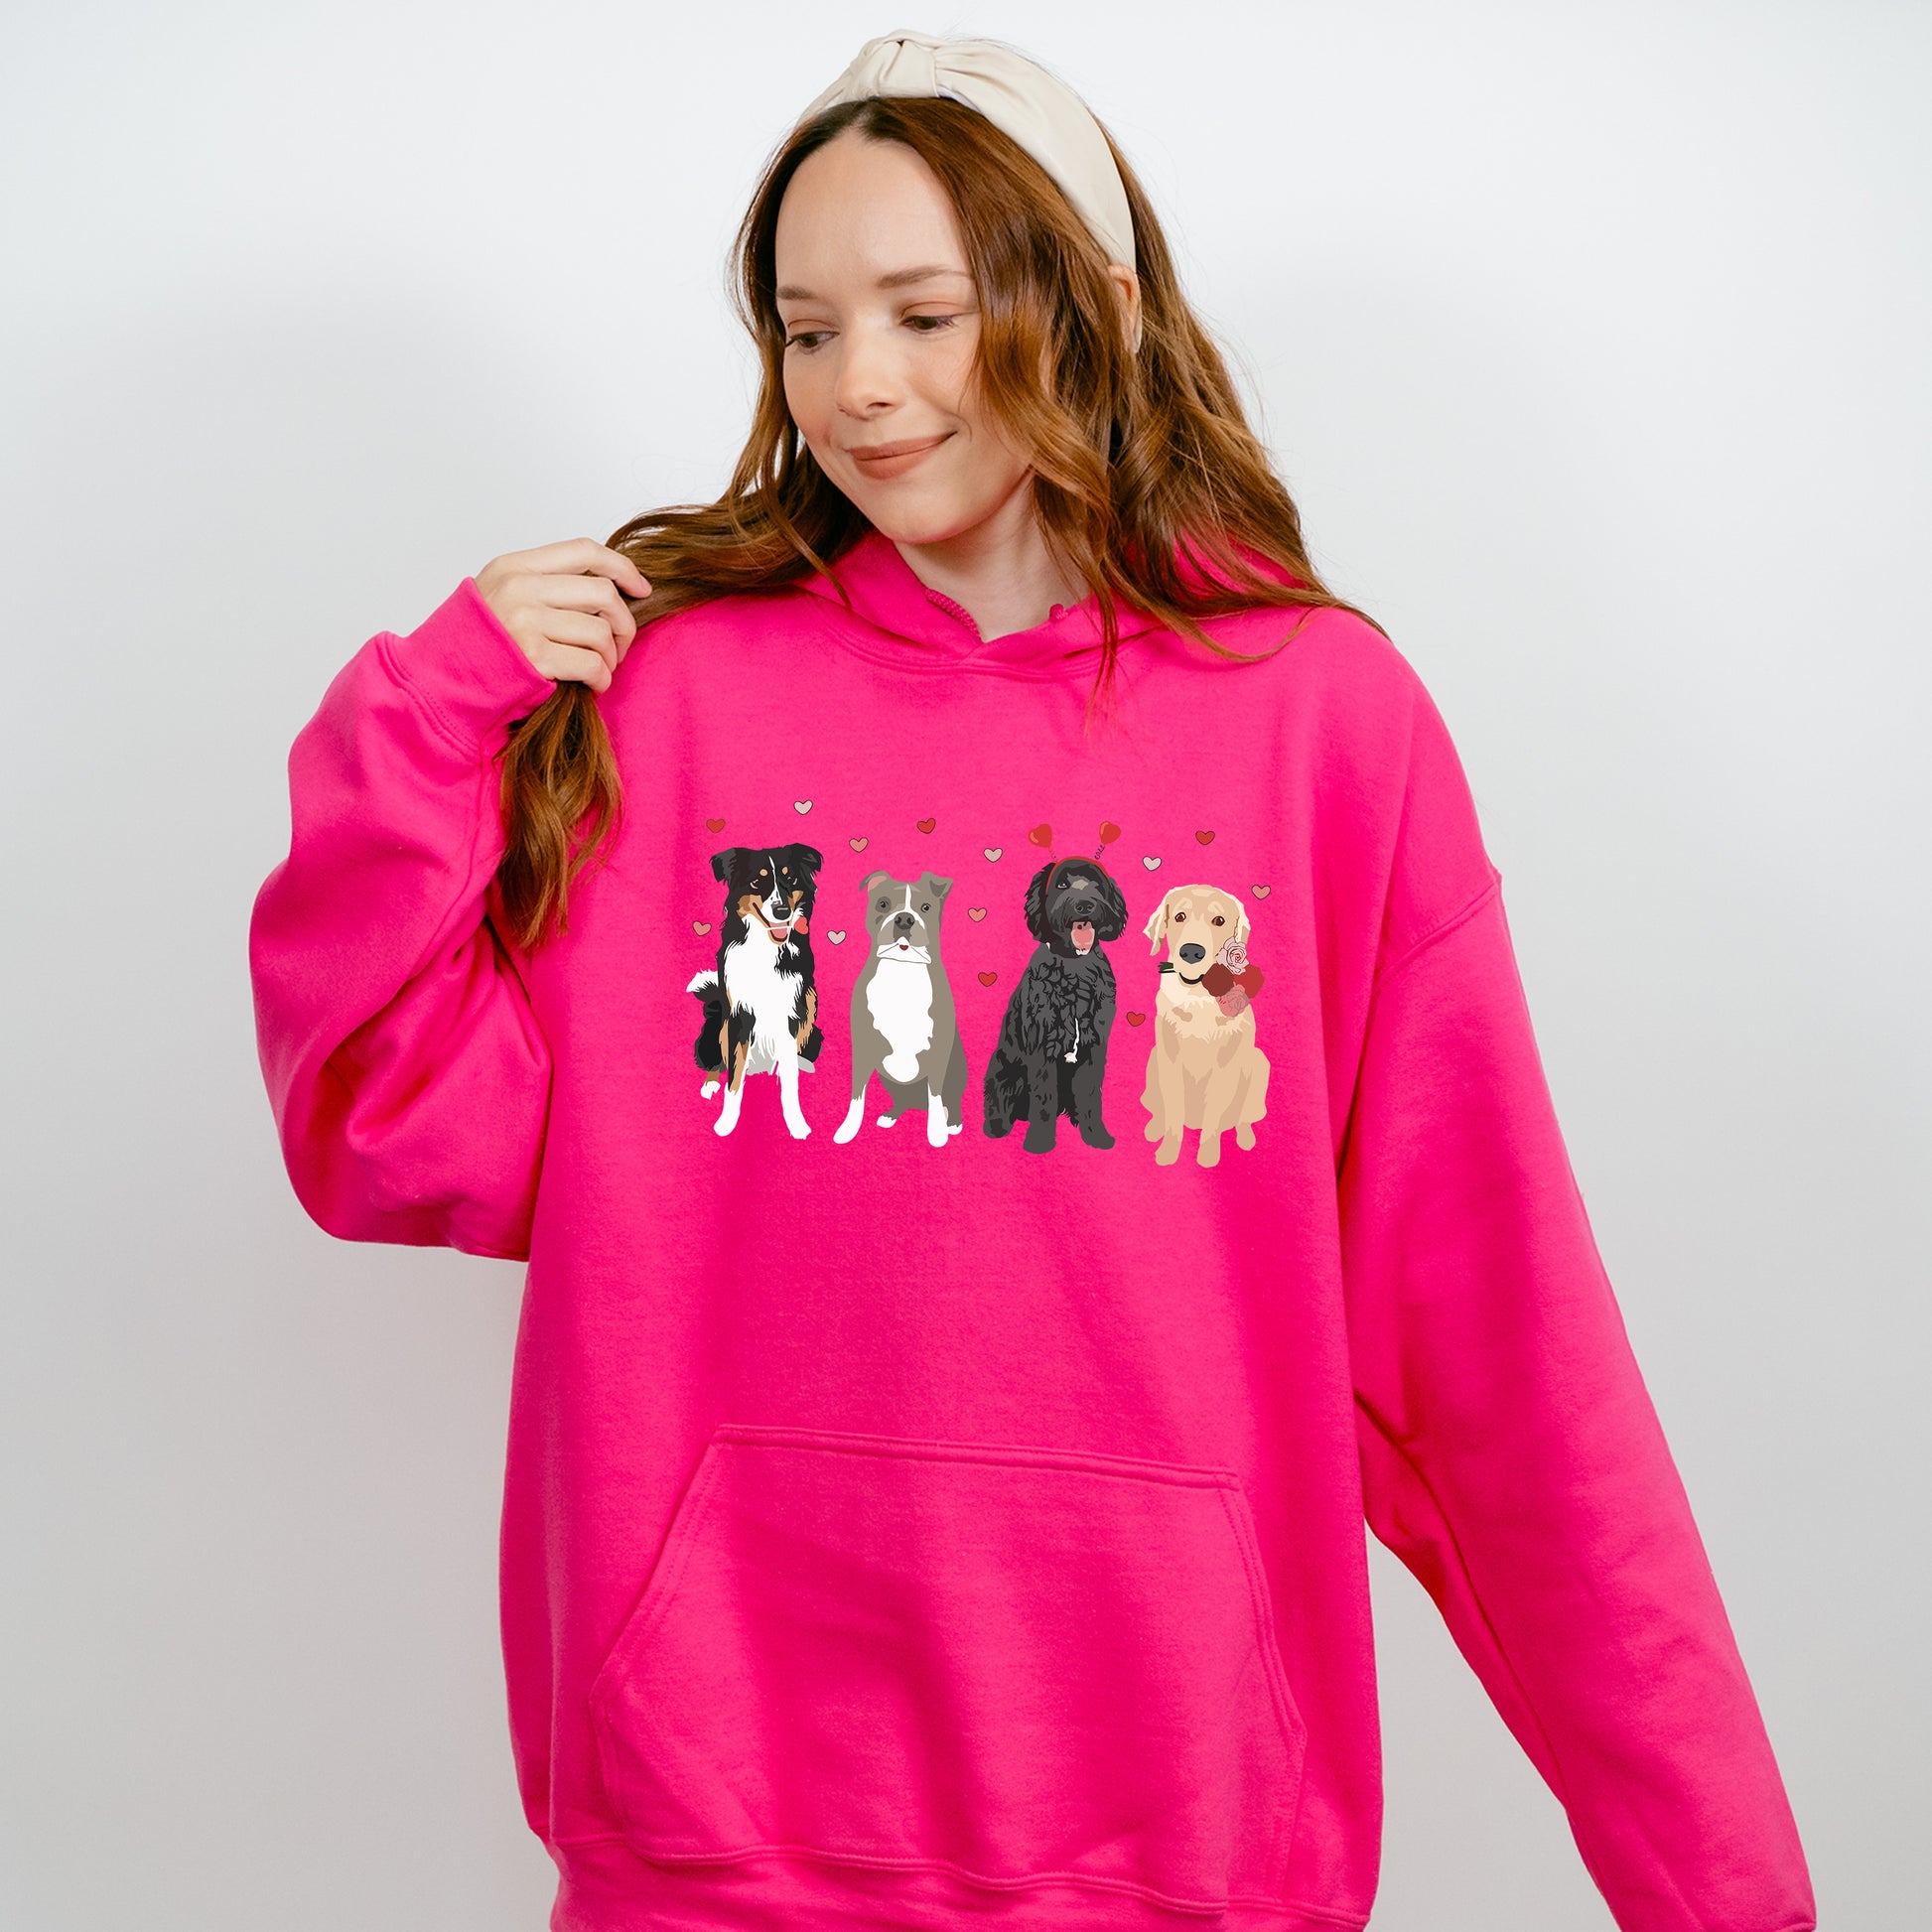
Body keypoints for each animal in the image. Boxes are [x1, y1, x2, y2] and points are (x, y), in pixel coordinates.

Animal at [687, 843, 825, 1138]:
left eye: (790, 878)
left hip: (810, 999)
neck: (766, 946)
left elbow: (790, 1081)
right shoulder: (739, 1014)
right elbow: (733, 1079)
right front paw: (726, 1123)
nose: (782, 911)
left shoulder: (790, 1012)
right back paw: (710, 1083)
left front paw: (797, 1124)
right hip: (719, 1022)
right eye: (756, 881)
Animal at [834, 870, 968, 1148]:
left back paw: (952, 1123)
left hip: (957, 1070)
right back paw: (891, 1115)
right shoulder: (863, 1049)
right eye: (883, 904)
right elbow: (857, 1095)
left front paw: (937, 1134)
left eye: (926, 907)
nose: (905, 918)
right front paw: (847, 1130)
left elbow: (936, 1096)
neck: (902, 970)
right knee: (904, 1099)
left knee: (949, 1099)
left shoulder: (938, 1054)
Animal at [983, 856, 1130, 1153]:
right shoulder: (1042, 1047)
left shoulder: (1094, 1045)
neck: (1075, 966)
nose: (1084, 904)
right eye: (1062, 884)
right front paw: (1039, 1142)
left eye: (1096, 884)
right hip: (1003, 1070)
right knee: (996, 1101)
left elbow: (1090, 1096)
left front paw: (1096, 1136)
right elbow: (1044, 1100)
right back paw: (997, 1127)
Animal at [1140, 883, 1269, 1167]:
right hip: (1153, 1059)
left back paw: (1246, 1138)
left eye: (1219, 920)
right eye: (1180, 916)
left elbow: (1213, 1120)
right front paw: (1168, 1153)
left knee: (1243, 1118)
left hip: (1259, 1064)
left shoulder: (1225, 1068)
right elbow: (1173, 1115)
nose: (1191, 951)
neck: (1198, 996)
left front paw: (1208, 1157)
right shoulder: (1169, 1061)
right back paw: (1153, 1128)